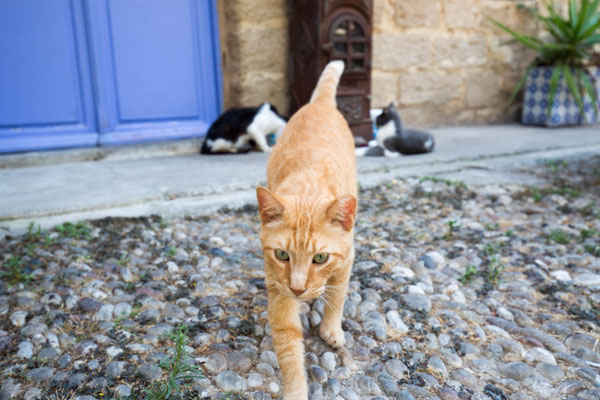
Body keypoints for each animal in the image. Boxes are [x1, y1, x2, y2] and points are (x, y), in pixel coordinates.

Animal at [254, 60, 356, 400]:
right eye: (282, 255)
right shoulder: (278, 290)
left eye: (320, 258)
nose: (298, 289)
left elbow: (337, 296)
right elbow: (289, 352)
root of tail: (320, 103)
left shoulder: (346, 260)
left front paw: (331, 328)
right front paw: (296, 390)